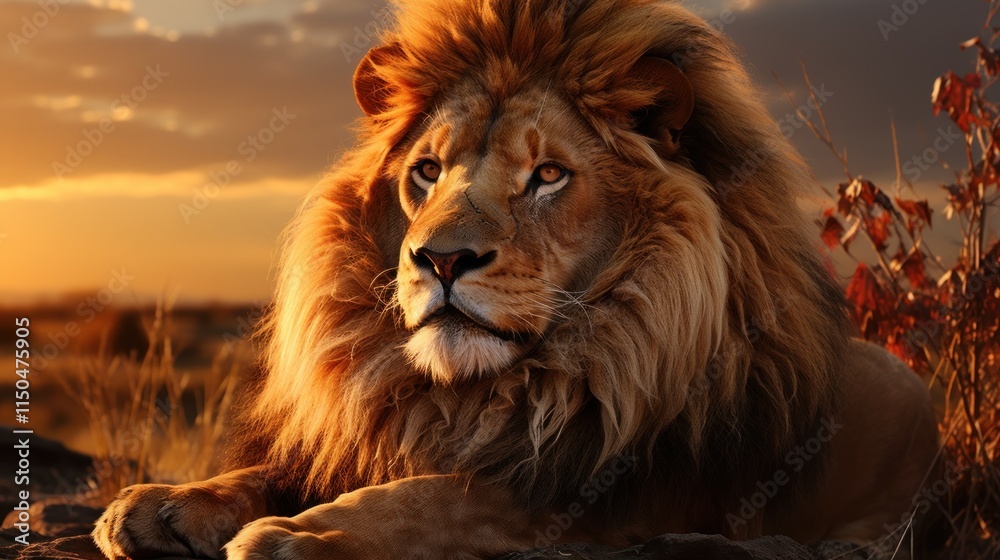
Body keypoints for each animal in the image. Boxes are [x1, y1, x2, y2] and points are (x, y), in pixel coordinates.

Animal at [92, 0, 941, 558]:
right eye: (426, 171)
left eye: (548, 175)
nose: (440, 260)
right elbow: (277, 470)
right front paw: (161, 504)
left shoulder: (611, 493)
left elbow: (442, 497)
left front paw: (301, 533)